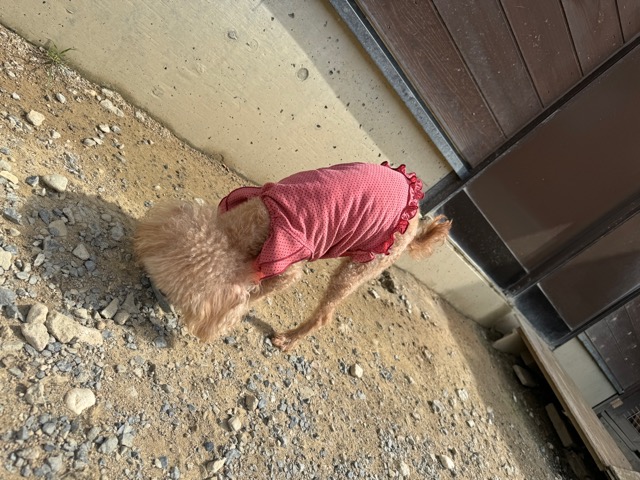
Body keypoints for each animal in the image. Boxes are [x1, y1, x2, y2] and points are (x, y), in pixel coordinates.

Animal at [133, 162, 451, 351]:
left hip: (364, 263)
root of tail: (417, 218)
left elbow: (260, 290)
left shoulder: (286, 268)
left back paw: (287, 340)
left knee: (325, 313)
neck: (258, 222)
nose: (157, 295)